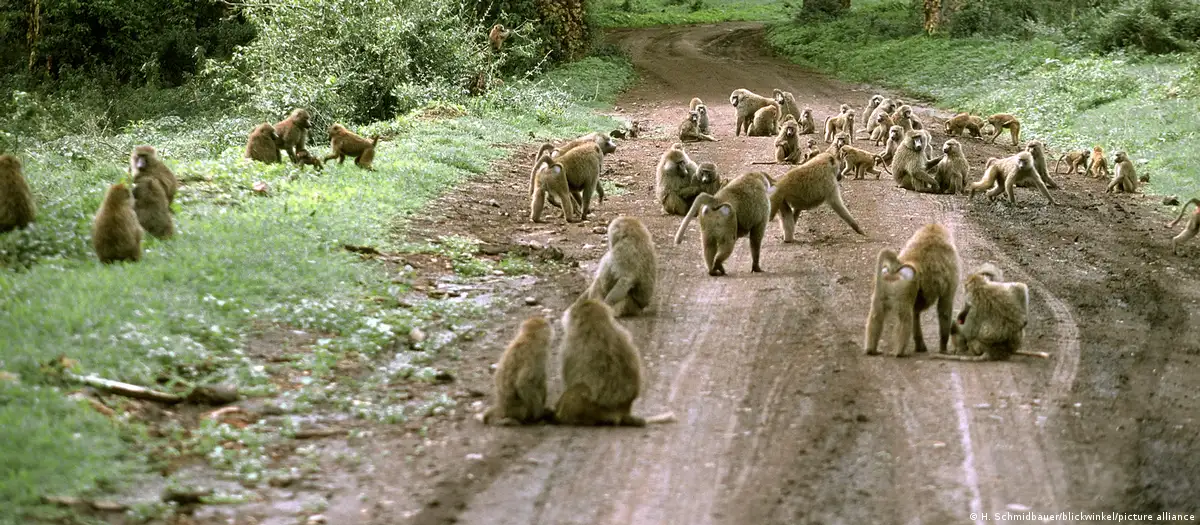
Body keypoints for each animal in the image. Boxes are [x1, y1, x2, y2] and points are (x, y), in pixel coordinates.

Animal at [863, 223, 960, 357]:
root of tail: (895, 270)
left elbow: (916, 312)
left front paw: (921, 346)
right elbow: (944, 308)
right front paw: (943, 349)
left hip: (881, 284)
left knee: (876, 314)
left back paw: (871, 350)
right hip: (903, 290)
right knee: (905, 318)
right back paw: (899, 353)